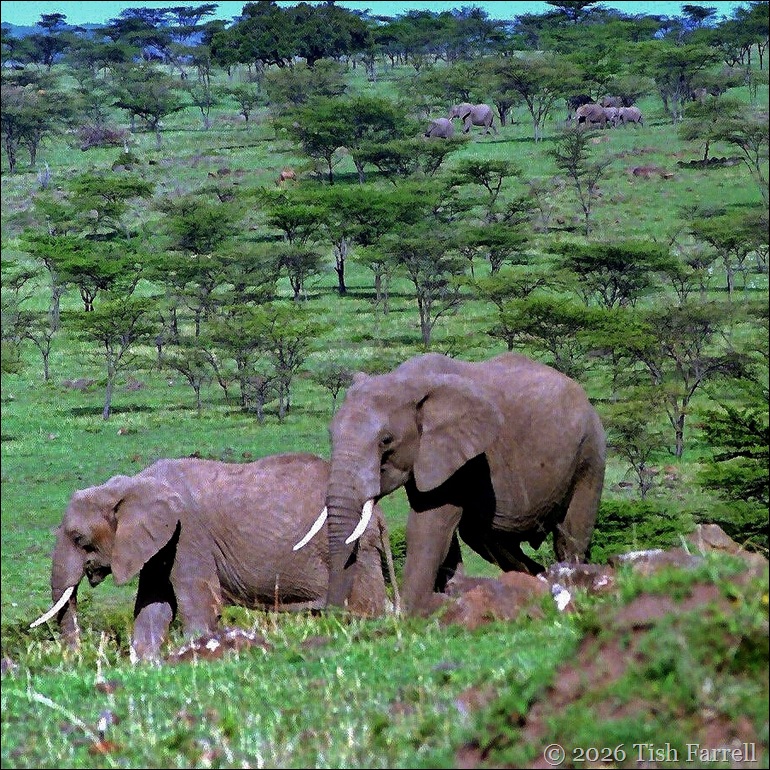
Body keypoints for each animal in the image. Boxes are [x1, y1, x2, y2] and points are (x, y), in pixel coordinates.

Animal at [30, 453, 392, 661]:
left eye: (80, 539)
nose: (77, 656)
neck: (131, 486)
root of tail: (379, 515)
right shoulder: (161, 545)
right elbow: (154, 606)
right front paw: (147, 664)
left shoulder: (188, 534)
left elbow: (197, 606)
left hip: (352, 549)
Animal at [295, 353, 606, 617]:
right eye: (331, 434)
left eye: (386, 441)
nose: (334, 616)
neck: (406, 381)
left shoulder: (462, 457)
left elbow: (429, 524)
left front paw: (412, 616)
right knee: (486, 536)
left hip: (589, 453)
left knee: (570, 536)